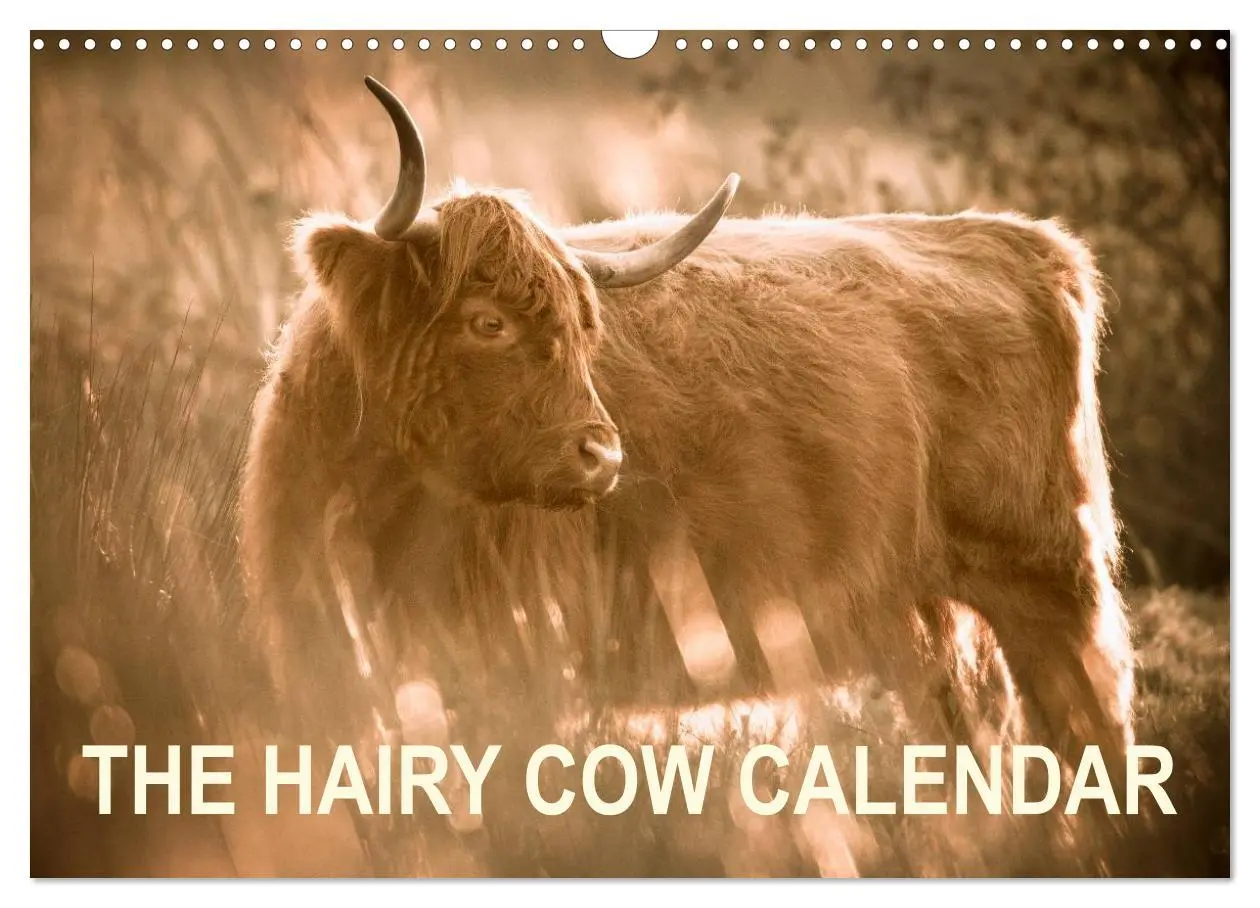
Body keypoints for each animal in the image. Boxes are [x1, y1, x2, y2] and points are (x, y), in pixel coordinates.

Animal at [239, 76, 1135, 786]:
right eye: (485, 321)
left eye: (584, 330)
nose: (601, 454)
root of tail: (1024, 240)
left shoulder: (519, 654)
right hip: (926, 612)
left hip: (1049, 580)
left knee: (1089, 727)